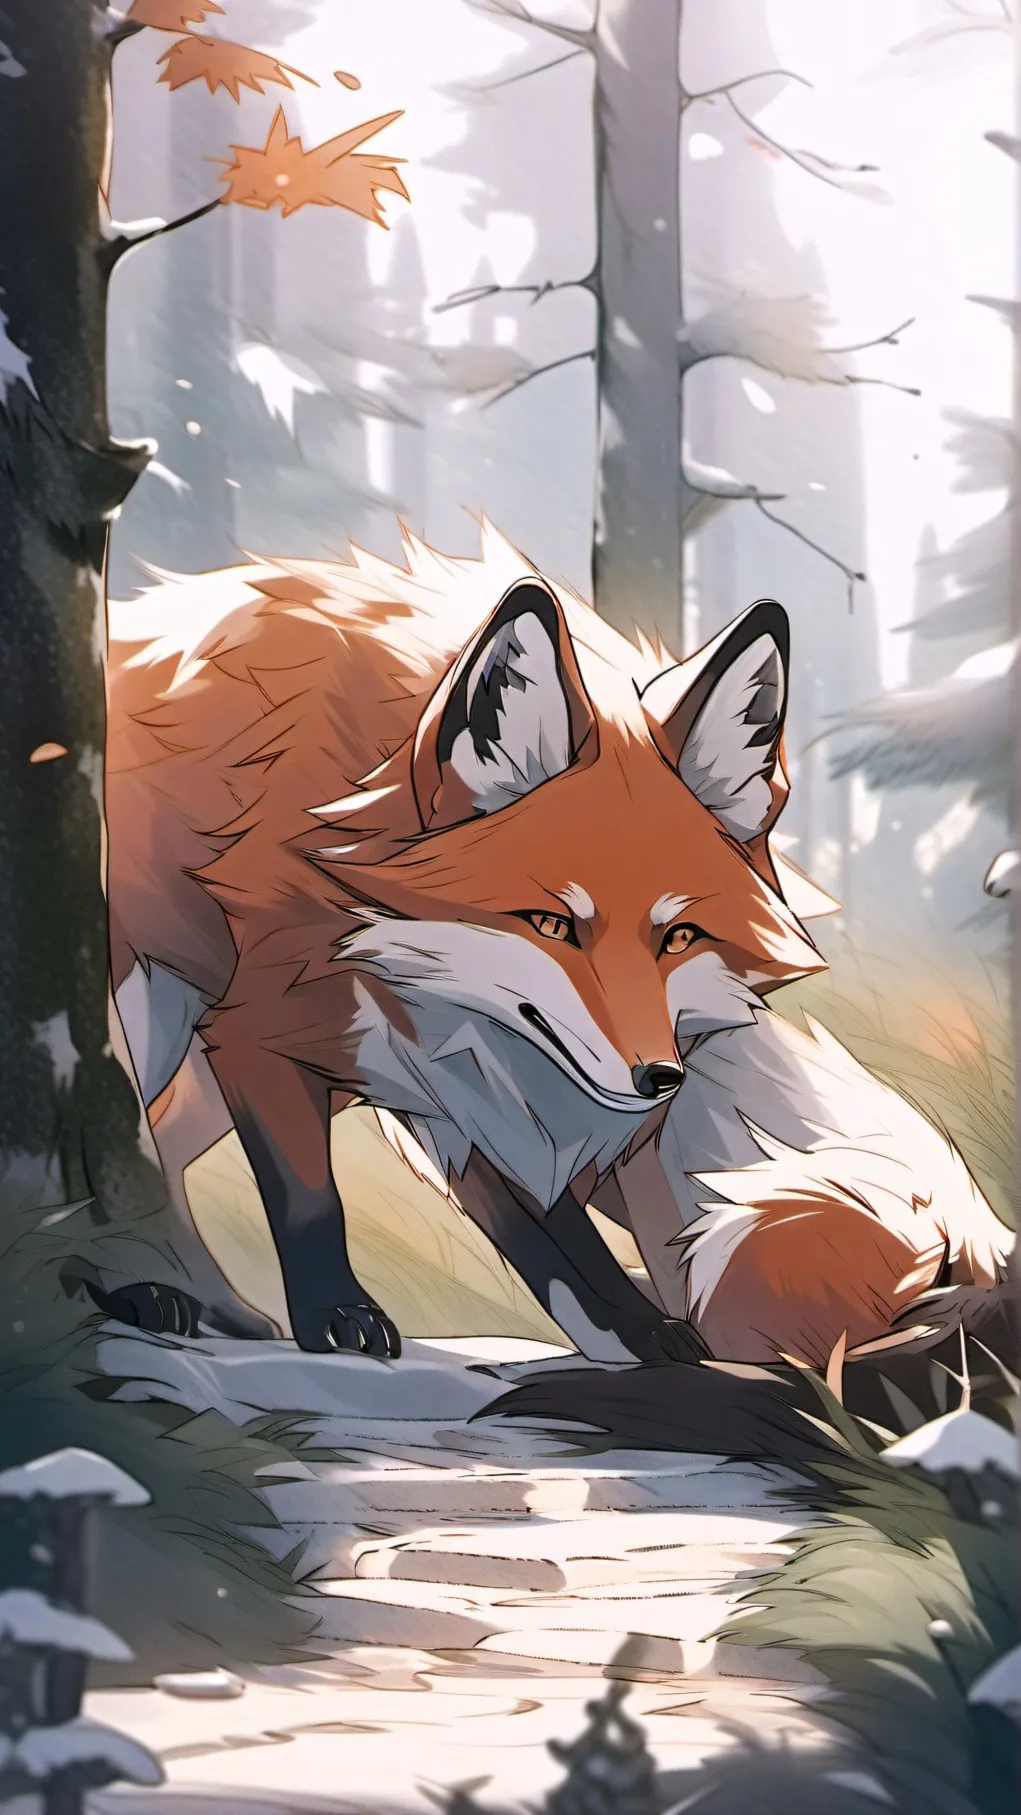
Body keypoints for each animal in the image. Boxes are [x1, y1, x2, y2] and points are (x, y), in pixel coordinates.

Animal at [103, 521, 1012, 1366]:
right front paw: (337, 1315)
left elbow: (557, 1249)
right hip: (149, 1005)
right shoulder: (259, 1026)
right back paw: (138, 1287)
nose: (658, 1078)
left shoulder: (462, 1083)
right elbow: (305, 1194)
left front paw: (644, 1335)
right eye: (551, 925)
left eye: (678, 935)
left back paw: (211, 1304)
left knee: (163, 1157)